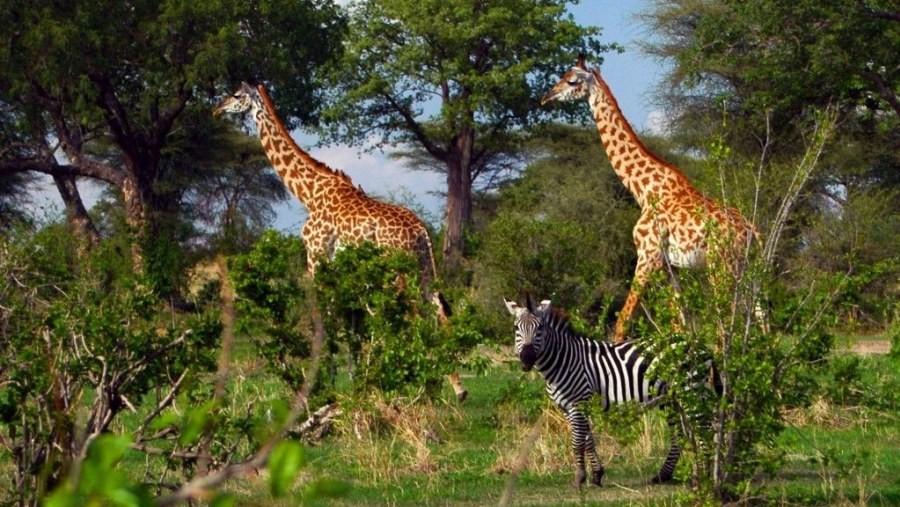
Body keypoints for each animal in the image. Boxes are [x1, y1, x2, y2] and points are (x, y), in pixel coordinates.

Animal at [214, 82, 468, 400]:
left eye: (236, 95)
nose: (217, 109)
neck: (309, 192)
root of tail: (421, 230)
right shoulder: (343, 270)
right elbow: (351, 324)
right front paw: (357, 378)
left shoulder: (316, 257)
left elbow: (324, 320)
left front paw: (322, 381)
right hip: (423, 267)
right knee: (439, 310)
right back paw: (456, 387)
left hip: (397, 274)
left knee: (412, 317)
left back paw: (420, 383)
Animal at [502, 298, 708, 488]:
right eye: (516, 328)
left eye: (540, 328)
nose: (527, 359)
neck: (564, 361)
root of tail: (695, 341)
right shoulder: (568, 407)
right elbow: (587, 440)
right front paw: (596, 475)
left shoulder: (578, 403)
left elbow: (577, 441)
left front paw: (579, 478)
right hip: (671, 398)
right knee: (679, 435)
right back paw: (663, 475)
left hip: (691, 389)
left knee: (702, 429)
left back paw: (704, 476)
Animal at [540, 54, 760, 342]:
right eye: (563, 76)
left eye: (572, 81)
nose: (546, 97)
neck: (643, 190)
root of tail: (753, 232)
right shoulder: (670, 266)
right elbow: (681, 324)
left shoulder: (647, 256)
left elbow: (623, 319)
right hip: (749, 269)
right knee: (760, 318)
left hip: (721, 264)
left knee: (727, 319)